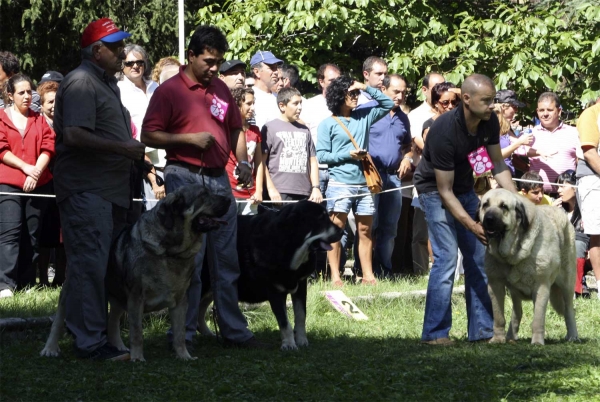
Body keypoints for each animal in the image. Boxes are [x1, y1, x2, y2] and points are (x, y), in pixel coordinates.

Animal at [41, 185, 230, 362]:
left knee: (112, 321)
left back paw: (119, 347)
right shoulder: (136, 297)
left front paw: (184, 356)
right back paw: (50, 348)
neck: (169, 252)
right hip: (71, 290)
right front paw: (138, 358)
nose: (229, 199)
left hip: (119, 297)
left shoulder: (180, 301)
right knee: (58, 321)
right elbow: (137, 332)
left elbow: (180, 334)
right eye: (203, 195)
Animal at [199, 201, 342, 348]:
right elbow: (284, 322)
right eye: (320, 219)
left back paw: (208, 334)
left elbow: (301, 315)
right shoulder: (275, 290)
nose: (342, 232)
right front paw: (289, 344)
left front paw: (302, 340)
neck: (290, 247)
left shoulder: (301, 285)